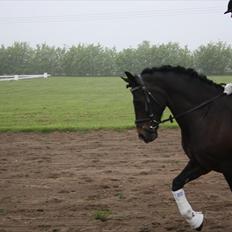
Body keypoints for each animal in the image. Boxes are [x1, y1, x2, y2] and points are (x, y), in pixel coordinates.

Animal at [122, 66, 231, 231]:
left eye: (139, 100)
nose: (143, 134)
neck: (207, 115)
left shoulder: (227, 166)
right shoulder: (202, 162)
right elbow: (176, 183)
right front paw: (196, 219)